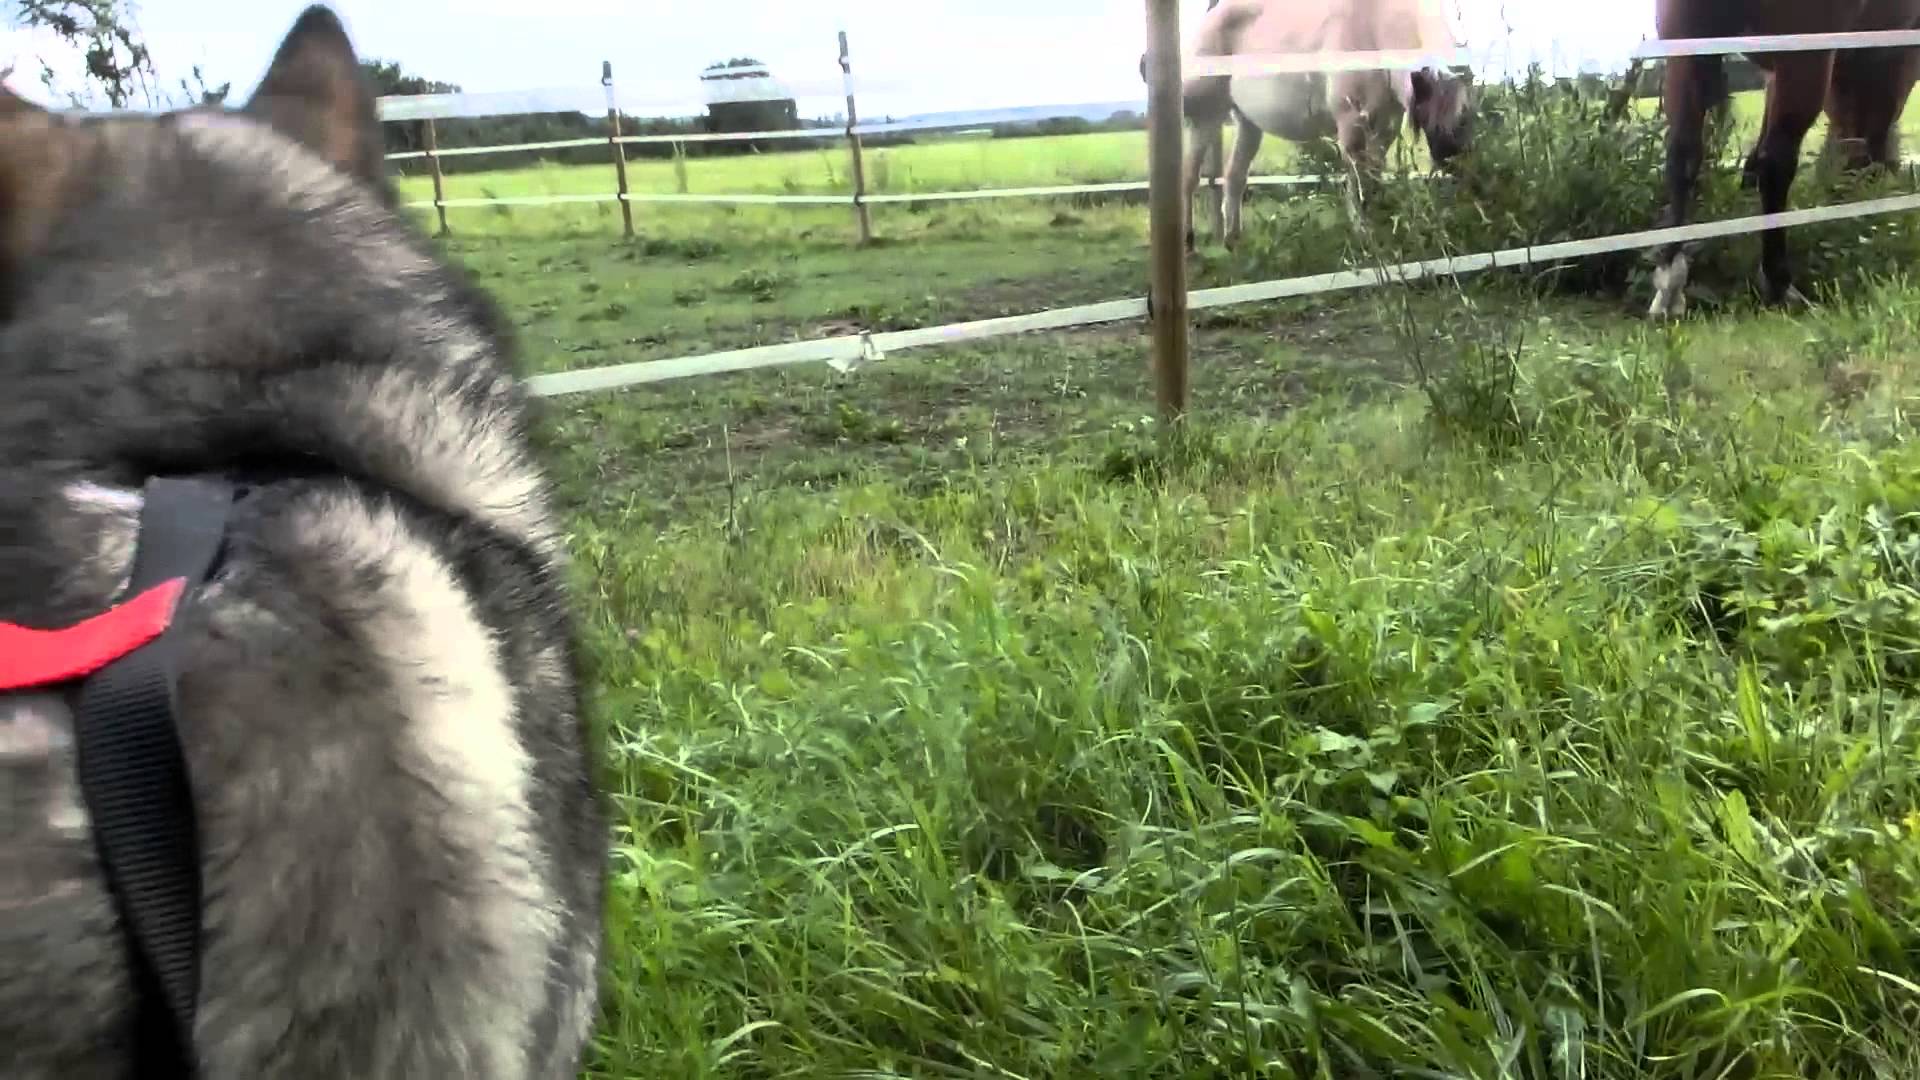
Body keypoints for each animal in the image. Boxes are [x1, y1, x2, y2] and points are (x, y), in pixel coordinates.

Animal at [1136, 0, 1466, 249]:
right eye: (1430, 116)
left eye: (1465, 114)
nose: (1455, 164)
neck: (1376, 28)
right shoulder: (1352, 124)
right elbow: (1358, 182)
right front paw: (1364, 234)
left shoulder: (1385, 126)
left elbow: (1373, 178)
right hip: (1206, 118)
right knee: (1189, 178)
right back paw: (1188, 242)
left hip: (1248, 123)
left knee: (1233, 176)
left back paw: (1233, 239)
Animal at [1651, 0, 1920, 317]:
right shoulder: (1892, 58)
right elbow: (1866, 138)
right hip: (1804, 57)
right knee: (1776, 164)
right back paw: (1779, 285)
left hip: (1685, 44)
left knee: (1683, 154)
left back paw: (1669, 285)